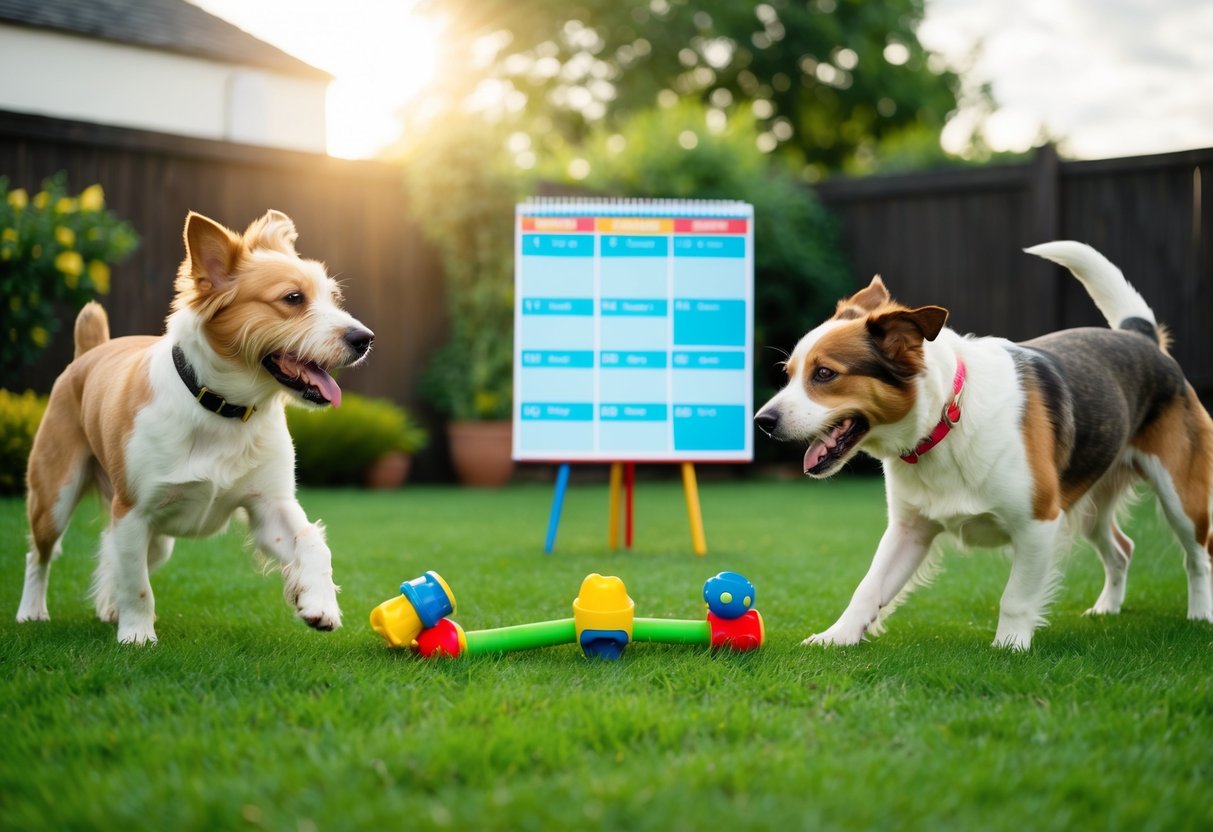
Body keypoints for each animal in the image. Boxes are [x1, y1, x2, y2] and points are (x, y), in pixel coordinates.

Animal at [15, 208, 373, 645]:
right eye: (293, 298)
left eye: (333, 299)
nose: (364, 338)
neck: (222, 408)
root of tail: (90, 350)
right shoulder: (131, 511)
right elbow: (138, 587)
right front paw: (137, 635)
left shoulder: (269, 506)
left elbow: (313, 541)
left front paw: (319, 602)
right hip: (54, 496)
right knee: (41, 554)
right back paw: (32, 610)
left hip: (154, 540)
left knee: (113, 552)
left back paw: (109, 607)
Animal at [756, 241, 1213, 650]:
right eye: (789, 373)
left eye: (825, 374)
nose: (763, 422)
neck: (944, 421)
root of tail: (1141, 337)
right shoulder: (908, 530)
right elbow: (867, 589)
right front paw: (838, 637)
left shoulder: (1038, 523)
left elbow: (1016, 598)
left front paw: (1009, 648)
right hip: (1090, 503)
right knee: (1121, 550)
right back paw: (1107, 609)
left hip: (1180, 497)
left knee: (1198, 555)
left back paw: (1199, 616)